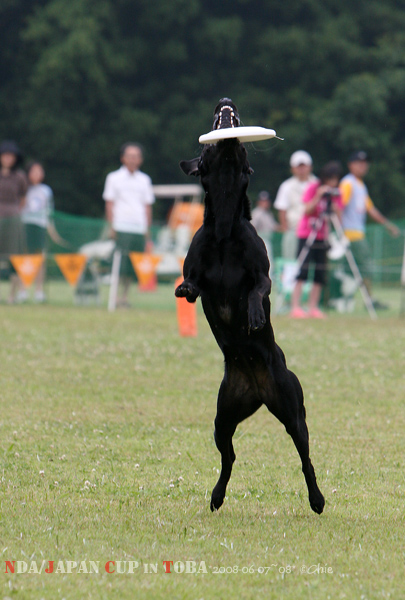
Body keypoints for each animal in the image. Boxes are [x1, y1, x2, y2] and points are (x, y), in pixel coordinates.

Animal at [175, 98, 324, 516]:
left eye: (238, 143)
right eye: (213, 137)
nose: (225, 102)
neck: (226, 226)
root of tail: (257, 390)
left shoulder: (262, 275)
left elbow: (258, 290)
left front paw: (256, 316)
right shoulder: (197, 276)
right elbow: (191, 284)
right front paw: (182, 289)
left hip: (293, 410)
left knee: (305, 456)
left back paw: (317, 499)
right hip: (223, 417)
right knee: (229, 457)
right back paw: (216, 496)